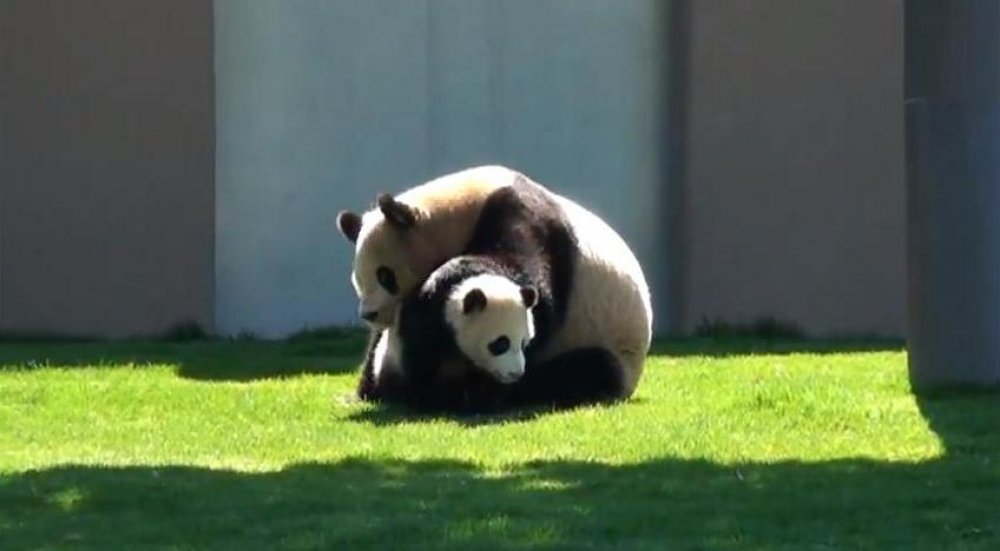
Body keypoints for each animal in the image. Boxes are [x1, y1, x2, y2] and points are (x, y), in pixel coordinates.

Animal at [352, 175, 656, 412]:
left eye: (385, 276)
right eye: (357, 280)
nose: (369, 314)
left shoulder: (527, 218)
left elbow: (534, 290)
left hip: (613, 346)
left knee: (588, 369)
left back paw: (470, 393)